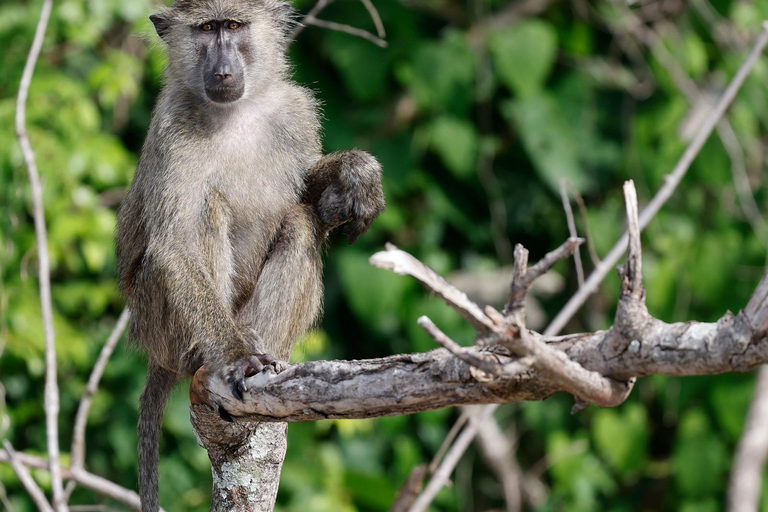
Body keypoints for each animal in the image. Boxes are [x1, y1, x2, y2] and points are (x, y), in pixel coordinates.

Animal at [115, 1, 385, 511]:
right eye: (206, 29)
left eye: (234, 26)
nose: (222, 70)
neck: (234, 112)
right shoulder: (172, 124)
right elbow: (176, 244)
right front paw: (237, 358)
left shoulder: (295, 110)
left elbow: (309, 197)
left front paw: (355, 173)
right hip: (157, 319)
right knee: (209, 208)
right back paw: (212, 362)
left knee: (299, 222)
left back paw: (264, 353)